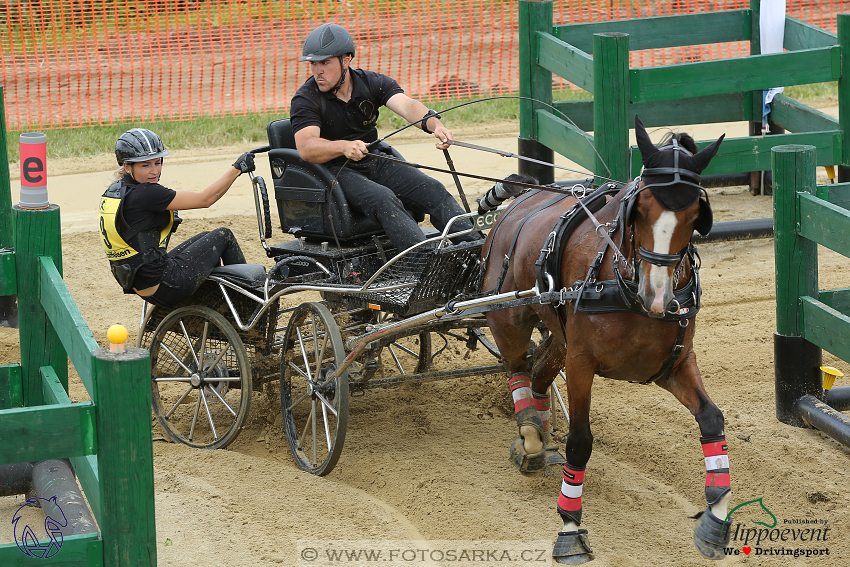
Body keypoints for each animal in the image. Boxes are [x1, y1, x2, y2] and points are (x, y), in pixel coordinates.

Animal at [484, 116, 728, 564]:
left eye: (693, 213)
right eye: (641, 208)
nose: (656, 295)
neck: (623, 286)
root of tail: (524, 197)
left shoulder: (675, 364)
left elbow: (711, 419)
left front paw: (715, 521)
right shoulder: (582, 363)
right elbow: (581, 442)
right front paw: (569, 528)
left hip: (560, 337)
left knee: (539, 372)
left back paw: (540, 435)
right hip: (508, 318)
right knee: (516, 368)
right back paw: (530, 434)